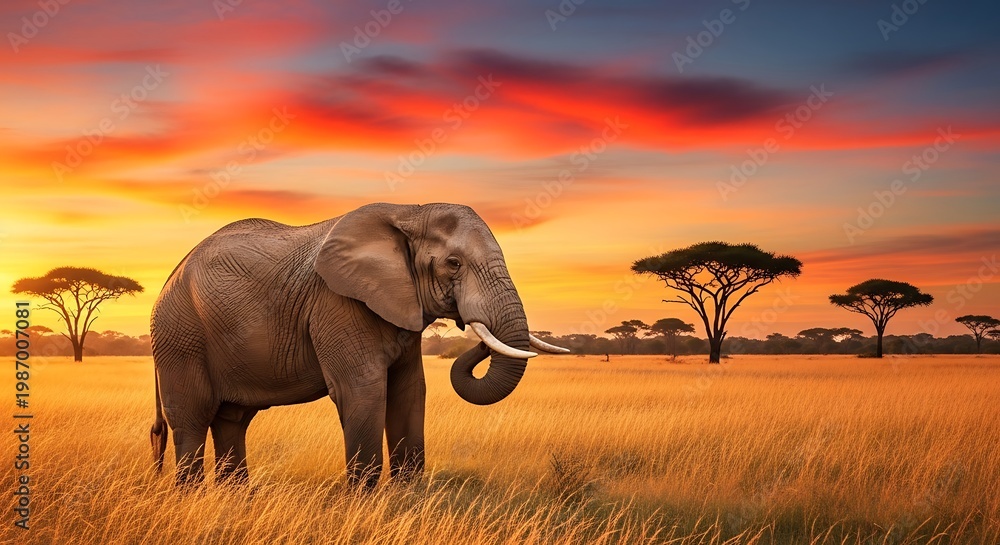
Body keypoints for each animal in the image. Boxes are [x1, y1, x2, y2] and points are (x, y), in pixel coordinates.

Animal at [149, 203, 568, 487]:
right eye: (453, 263)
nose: (469, 327)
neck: (409, 212)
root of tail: (170, 275)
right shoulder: (337, 304)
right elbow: (363, 391)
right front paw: (363, 502)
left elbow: (409, 391)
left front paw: (407, 496)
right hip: (179, 336)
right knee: (191, 419)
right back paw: (192, 498)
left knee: (232, 420)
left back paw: (237, 499)